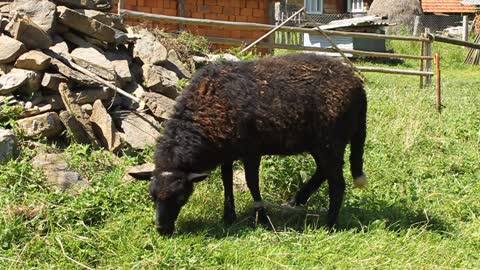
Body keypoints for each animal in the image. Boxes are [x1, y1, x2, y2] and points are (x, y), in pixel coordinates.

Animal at [150, 52, 368, 234]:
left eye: (181, 197)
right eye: (152, 197)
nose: (162, 229)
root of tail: (359, 86)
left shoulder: (251, 150)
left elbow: (252, 183)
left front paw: (261, 217)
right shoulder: (228, 150)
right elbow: (226, 179)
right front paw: (229, 216)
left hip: (331, 141)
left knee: (337, 183)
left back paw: (329, 224)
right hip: (319, 143)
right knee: (323, 171)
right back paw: (297, 201)